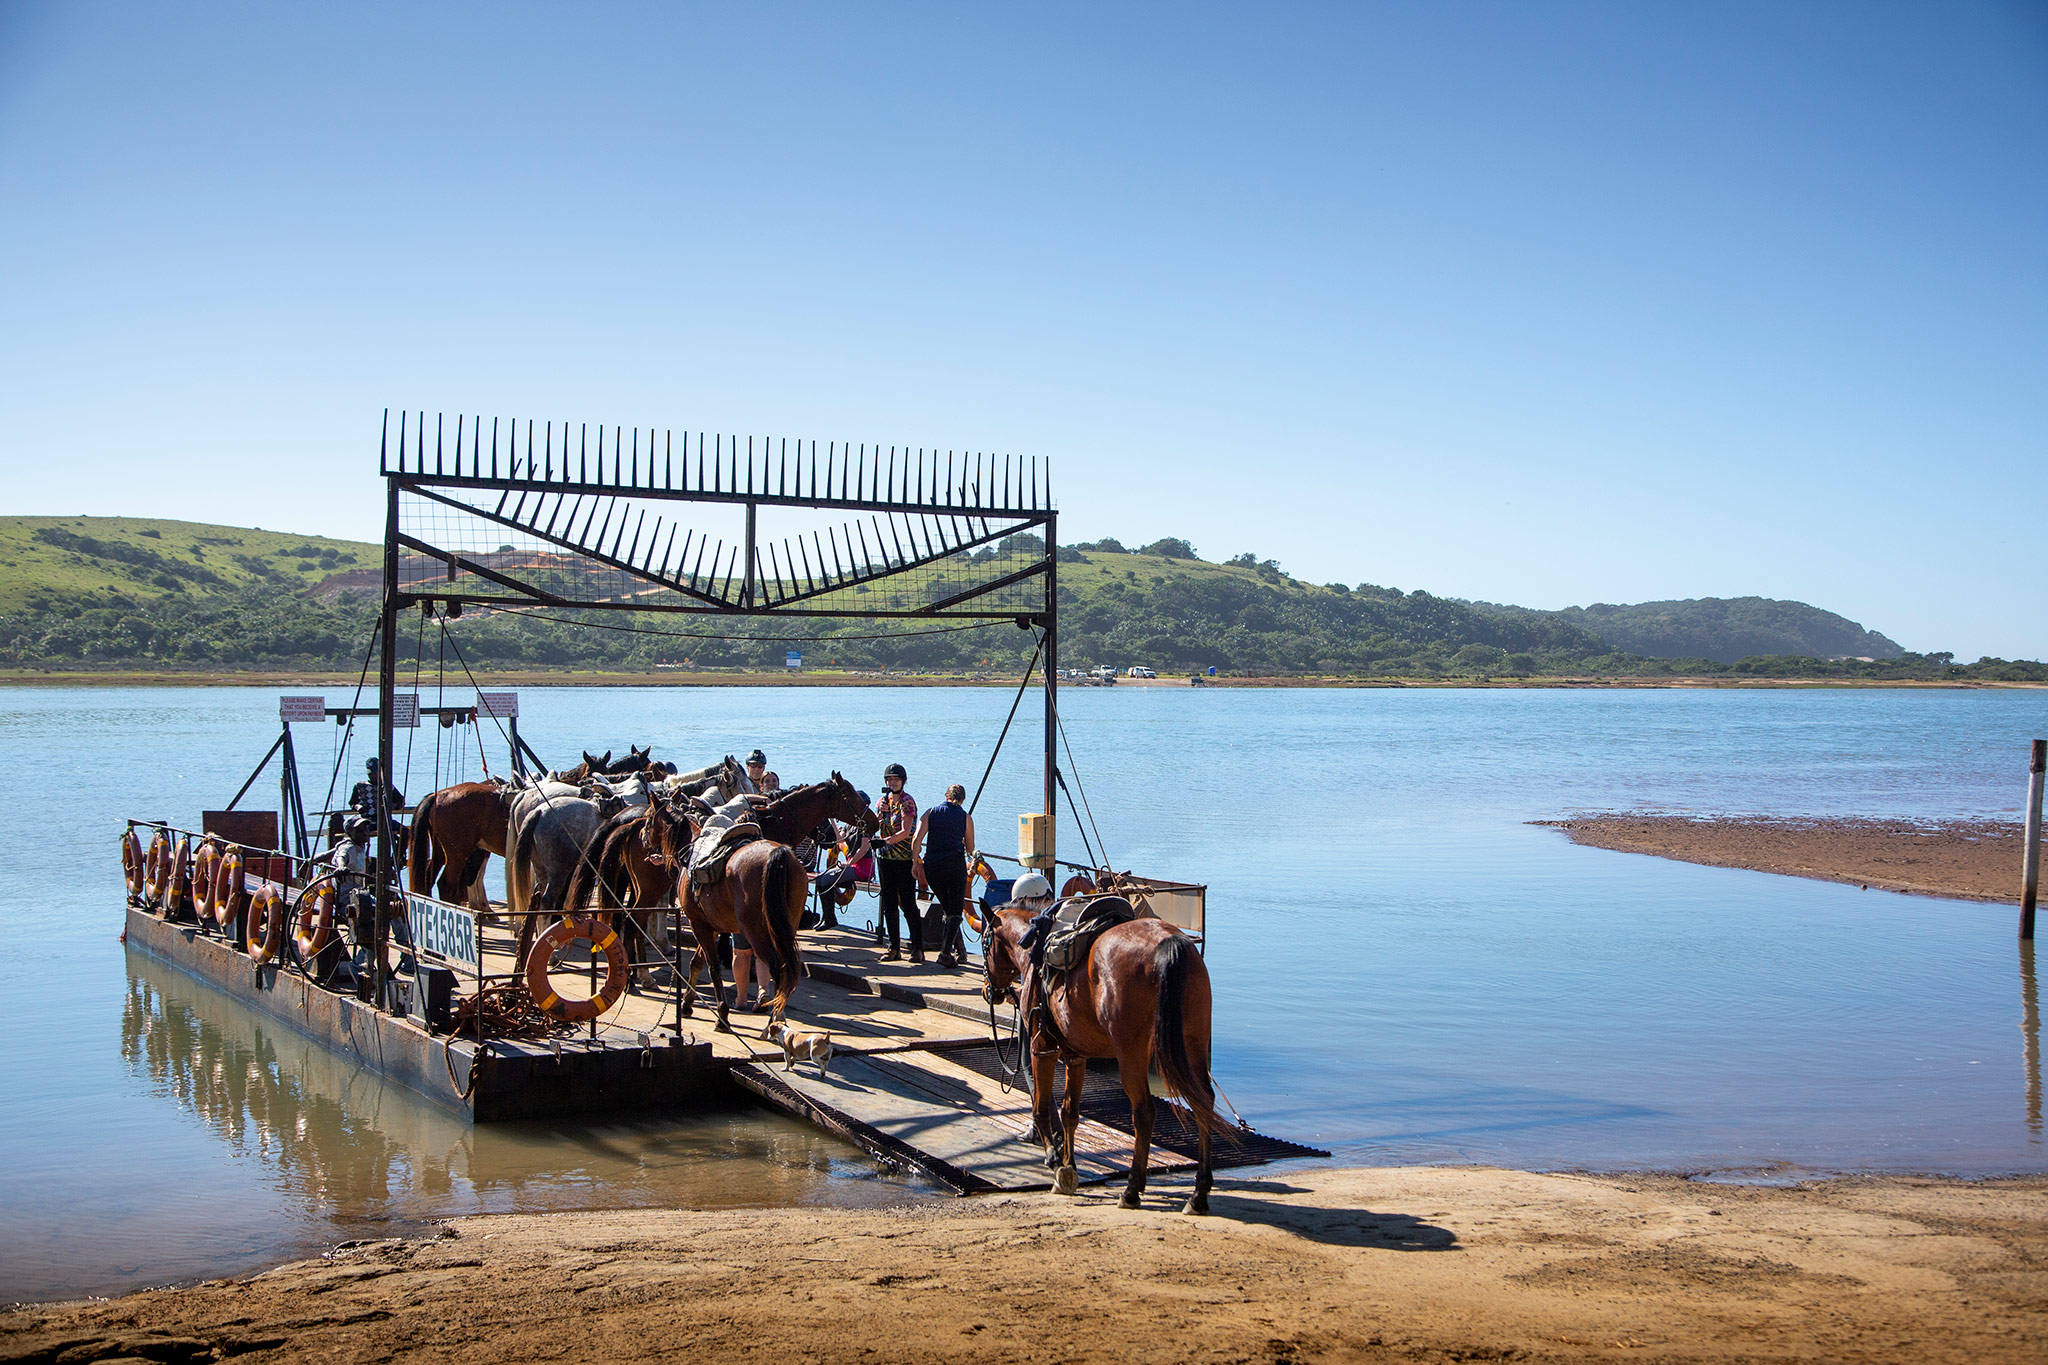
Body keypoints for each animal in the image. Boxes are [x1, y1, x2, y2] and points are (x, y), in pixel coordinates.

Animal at [978, 900, 1212, 1211]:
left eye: (985, 943)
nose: (990, 991)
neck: (1034, 946)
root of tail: (1168, 944)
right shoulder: (1076, 1056)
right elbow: (1070, 1113)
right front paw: (1069, 1166)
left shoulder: (1043, 1049)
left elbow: (1041, 1109)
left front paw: (1055, 1160)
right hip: (1193, 1046)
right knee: (1203, 1105)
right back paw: (1198, 1195)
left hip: (1131, 1055)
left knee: (1144, 1112)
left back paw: (1132, 1189)